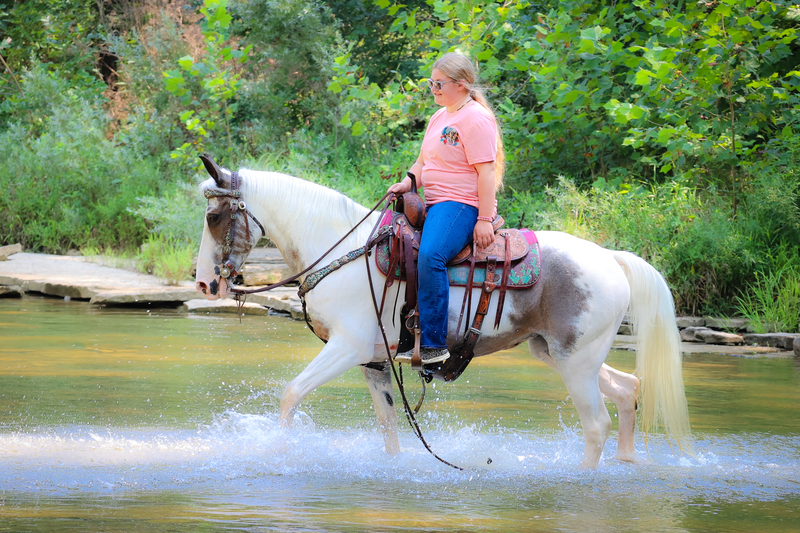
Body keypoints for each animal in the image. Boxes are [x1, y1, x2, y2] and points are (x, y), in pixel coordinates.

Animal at [195, 159, 692, 470]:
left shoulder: (346, 347)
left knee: (596, 425)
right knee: (627, 391)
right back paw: (628, 461)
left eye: (215, 216)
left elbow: (291, 394)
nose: (204, 285)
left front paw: (280, 451)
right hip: (557, 353)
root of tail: (612, 258)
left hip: (576, 362)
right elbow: (388, 427)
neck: (342, 252)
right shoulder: (372, 360)